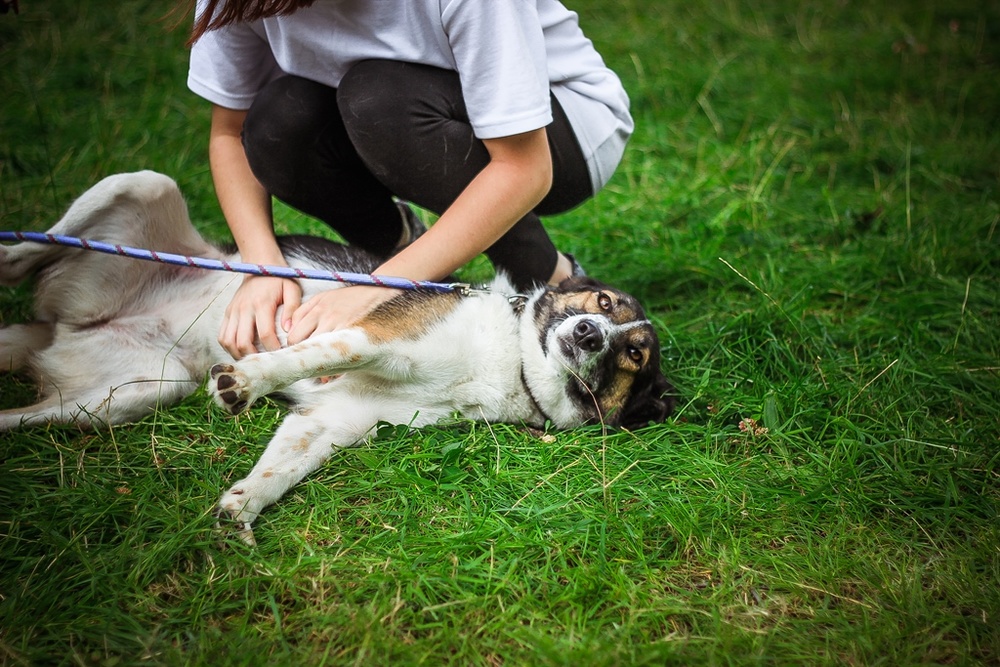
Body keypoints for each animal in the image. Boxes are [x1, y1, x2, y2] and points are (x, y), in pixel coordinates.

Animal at [0, 171, 676, 544]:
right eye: (603, 302)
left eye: (633, 355)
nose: (589, 334)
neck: (511, 359)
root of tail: (56, 329)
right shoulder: (372, 339)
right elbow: (303, 356)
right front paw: (242, 381)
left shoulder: (336, 418)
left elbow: (281, 469)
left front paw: (243, 508)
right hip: (140, 186)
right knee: (40, 249)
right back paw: (12, 252)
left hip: (129, 394)